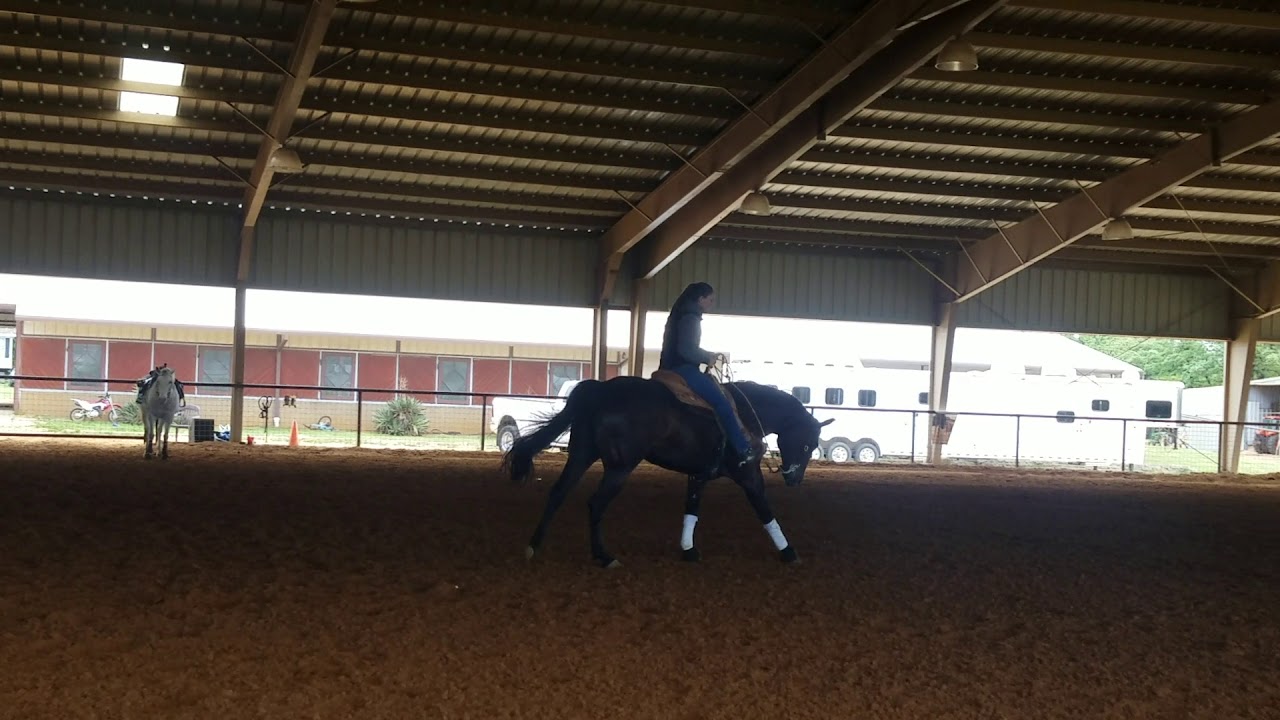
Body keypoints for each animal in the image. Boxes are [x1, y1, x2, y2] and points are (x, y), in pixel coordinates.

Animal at [503, 372, 833, 568]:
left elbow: (692, 510)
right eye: (808, 444)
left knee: (558, 493)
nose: (794, 479)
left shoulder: (698, 475)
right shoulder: (748, 474)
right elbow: (764, 509)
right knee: (595, 504)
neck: (746, 413)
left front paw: (688, 550)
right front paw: (789, 552)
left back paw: (533, 546)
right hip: (619, 467)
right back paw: (604, 556)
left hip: (581, 455)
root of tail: (599, 391)